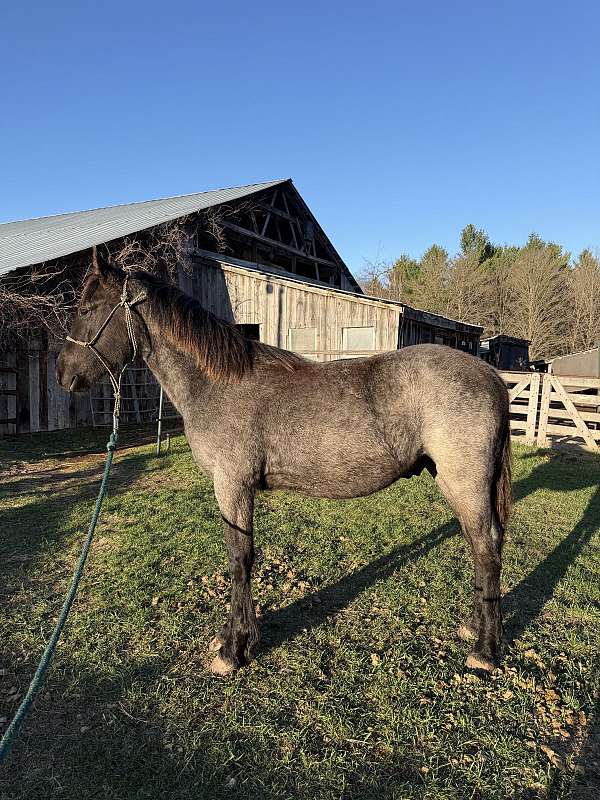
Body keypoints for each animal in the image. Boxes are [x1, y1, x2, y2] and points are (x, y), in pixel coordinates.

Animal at [56, 248, 511, 676]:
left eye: (87, 309)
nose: (63, 375)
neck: (216, 383)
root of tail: (491, 375)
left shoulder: (232, 484)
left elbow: (239, 559)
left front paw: (233, 648)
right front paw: (231, 636)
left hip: (464, 483)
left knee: (486, 548)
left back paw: (485, 651)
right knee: (480, 546)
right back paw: (474, 628)